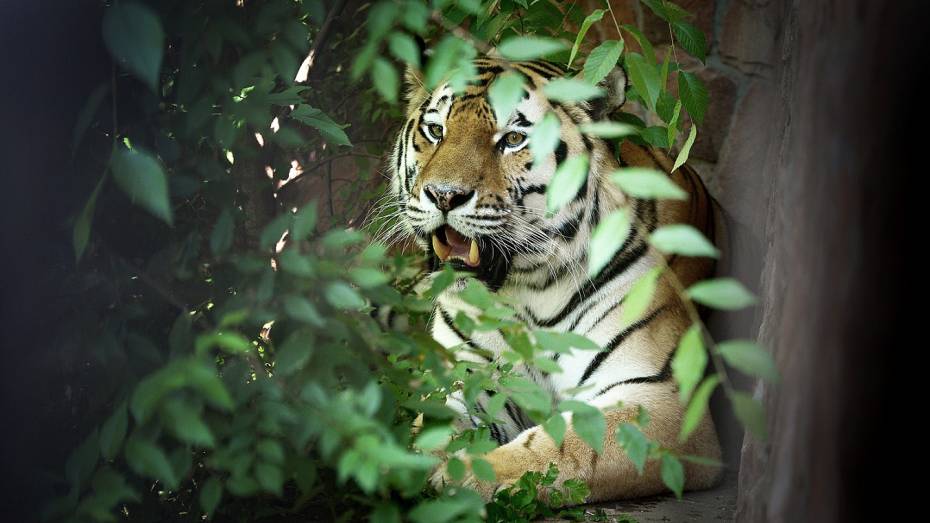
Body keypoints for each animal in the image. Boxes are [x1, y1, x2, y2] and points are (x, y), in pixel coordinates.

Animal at [388, 57, 720, 504]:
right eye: (436, 130)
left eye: (513, 139)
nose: (443, 195)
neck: (527, 286)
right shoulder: (466, 379)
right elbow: (431, 428)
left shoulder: (661, 398)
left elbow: (567, 445)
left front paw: (462, 477)